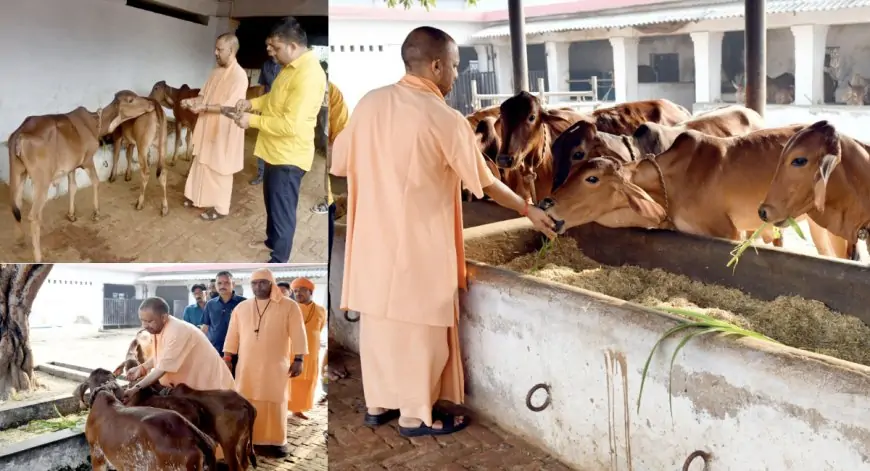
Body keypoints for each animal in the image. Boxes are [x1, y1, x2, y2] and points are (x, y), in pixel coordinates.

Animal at [8, 90, 156, 264]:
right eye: (131, 100)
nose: (151, 104)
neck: (95, 125)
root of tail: (19, 136)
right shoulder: (88, 160)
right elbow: (96, 182)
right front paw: (96, 213)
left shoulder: (72, 166)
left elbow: (73, 187)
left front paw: (71, 215)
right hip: (41, 180)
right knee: (34, 216)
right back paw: (38, 256)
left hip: (18, 173)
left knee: (16, 205)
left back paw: (20, 240)